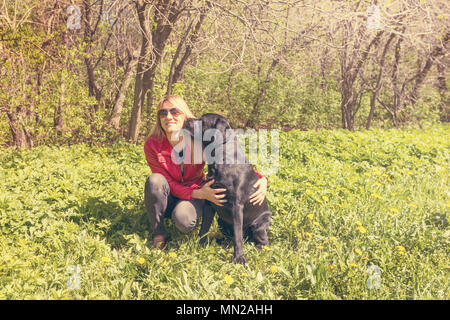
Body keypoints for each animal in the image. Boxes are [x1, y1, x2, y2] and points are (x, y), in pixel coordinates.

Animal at [182, 114, 270, 264]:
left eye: (202, 120)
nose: (186, 119)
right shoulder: (209, 203)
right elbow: (204, 228)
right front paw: (199, 246)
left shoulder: (236, 206)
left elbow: (237, 236)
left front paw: (239, 258)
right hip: (221, 221)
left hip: (259, 224)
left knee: (263, 242)